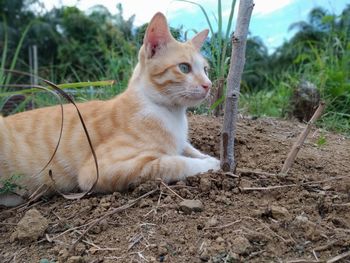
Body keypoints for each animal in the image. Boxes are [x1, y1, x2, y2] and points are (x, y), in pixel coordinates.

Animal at [0, 12, 219, 194]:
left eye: (205, 70)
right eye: (184, 67)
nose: (208, 85)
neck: (172, 114)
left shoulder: (182, 142)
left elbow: (189, 149)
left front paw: (211, 157)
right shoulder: (97, 171)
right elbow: (173, 163)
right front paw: (213, 165)